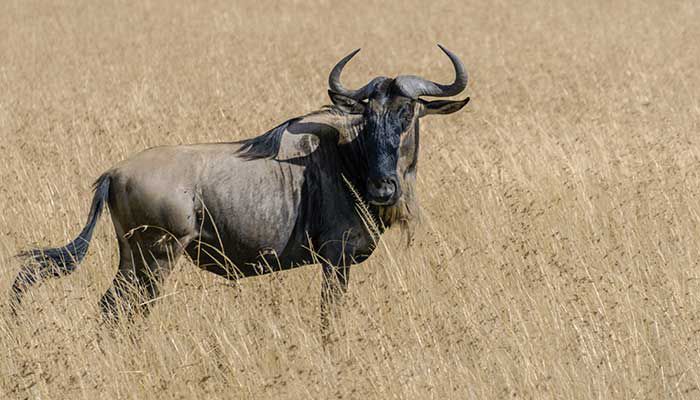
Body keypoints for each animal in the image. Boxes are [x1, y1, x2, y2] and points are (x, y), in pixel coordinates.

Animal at [11, 45, 469, 332]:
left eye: (408, 111)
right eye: (368, 114)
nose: (382, 189)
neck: (348, 159)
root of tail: (114, 173)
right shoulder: (335, 260)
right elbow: (329, 319)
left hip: (132, 258)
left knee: (111, 308)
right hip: (156, 259)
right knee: (125, 308)